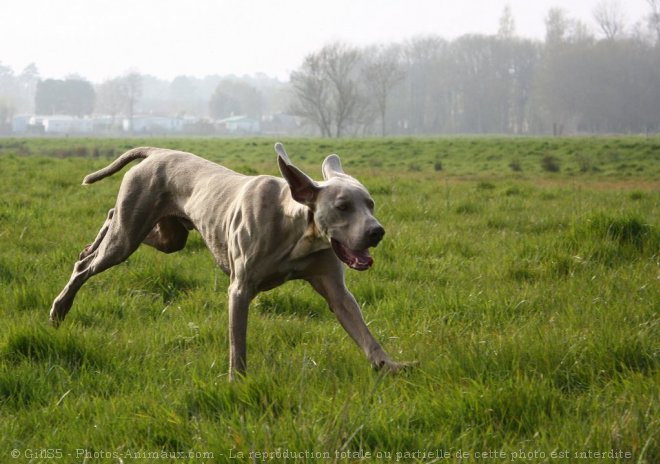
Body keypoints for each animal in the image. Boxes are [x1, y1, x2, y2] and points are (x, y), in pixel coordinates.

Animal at [50, 143, 408, 378]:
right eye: (343, 206)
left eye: (370, 204)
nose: (377, 232)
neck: (298, 229)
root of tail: (157, 152)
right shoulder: (240, 289)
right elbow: (238, 343)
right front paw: (238, 381)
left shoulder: (335, 289)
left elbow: (362, 330)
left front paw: (390, 366)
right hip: (128, 235)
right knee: (90, 261)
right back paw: (61, 306)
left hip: (169, 237)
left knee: (113, 218)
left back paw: (88, 247)